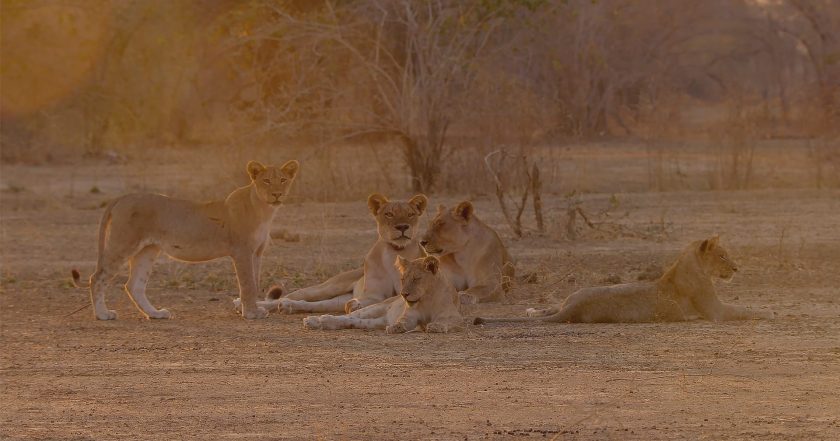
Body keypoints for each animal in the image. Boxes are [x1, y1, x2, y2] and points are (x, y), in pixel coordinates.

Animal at [72, 160, 300, 318]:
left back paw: (155, 314)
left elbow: (255, 280)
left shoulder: (257, 252)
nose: (277, 194)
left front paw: (251, 309)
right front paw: (251, 313)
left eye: (283, 180)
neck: (264, 210)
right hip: (123, 243)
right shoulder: (241, 252)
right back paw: (103, 314)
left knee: (134, 285)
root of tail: (122, 197)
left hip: (148, 250)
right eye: (266, 181)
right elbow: (248, 284)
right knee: (97, 277)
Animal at [243, 192, 426, 312]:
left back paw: (290, 307)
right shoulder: (373, 294)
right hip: (328, 287)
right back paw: (246, 304)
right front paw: (356, 305)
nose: (402, 227)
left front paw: (356, 306)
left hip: (335, 300)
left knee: (314, 305)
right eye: (389, 214)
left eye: (410, 214)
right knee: (290, 296)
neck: (393, 251)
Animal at [300, 254, 460, 334]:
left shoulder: (453, 316)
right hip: (376, 307)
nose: (404, 294)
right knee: (348, 316)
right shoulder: (410, 316)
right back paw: (317, 320)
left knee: (353, 322)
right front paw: (396, 328)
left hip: (376, 322)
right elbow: (403, 321)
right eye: (403, 279)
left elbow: (445, 321)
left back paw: (323, 323)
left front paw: (437, 327)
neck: (427, 298)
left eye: (416, 278)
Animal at [476, 235, 776, 324]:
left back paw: (532, 310)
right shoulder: (715, 312)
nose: (736, 268)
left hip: (571, 296)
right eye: (723, 256)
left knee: (549, 308)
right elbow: (743, 310)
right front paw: (771, 313)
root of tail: (573, 308)